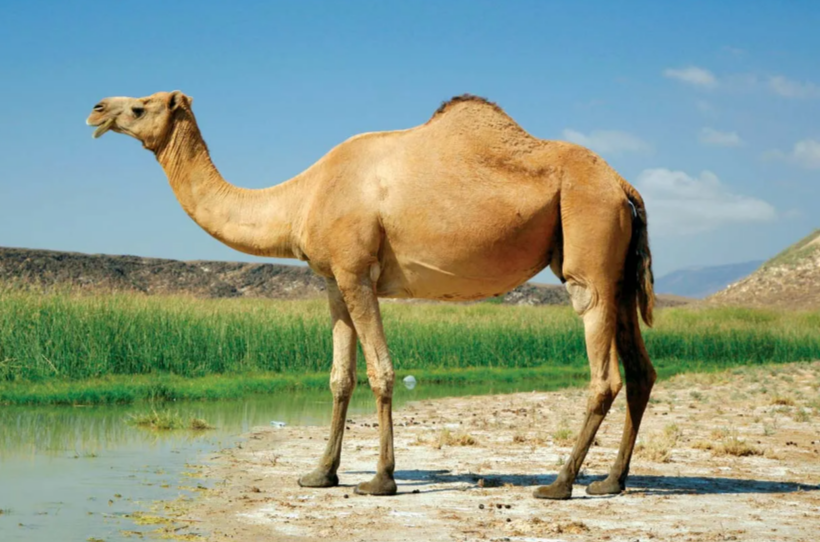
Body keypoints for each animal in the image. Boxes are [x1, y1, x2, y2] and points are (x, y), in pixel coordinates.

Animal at [86, 91, 656, 500]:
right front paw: (321, 474)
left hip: (589, 244)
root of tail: (625, 185)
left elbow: (382, 371)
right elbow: (341, 377)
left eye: (139, 105)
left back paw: (559, 484)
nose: (96, 109)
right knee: (640, 371)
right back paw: (611, 481)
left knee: (603, 372)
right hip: (619, 269)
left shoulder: (357, 271)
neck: (302, 197)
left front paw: (380, 479)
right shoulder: (332, 281)